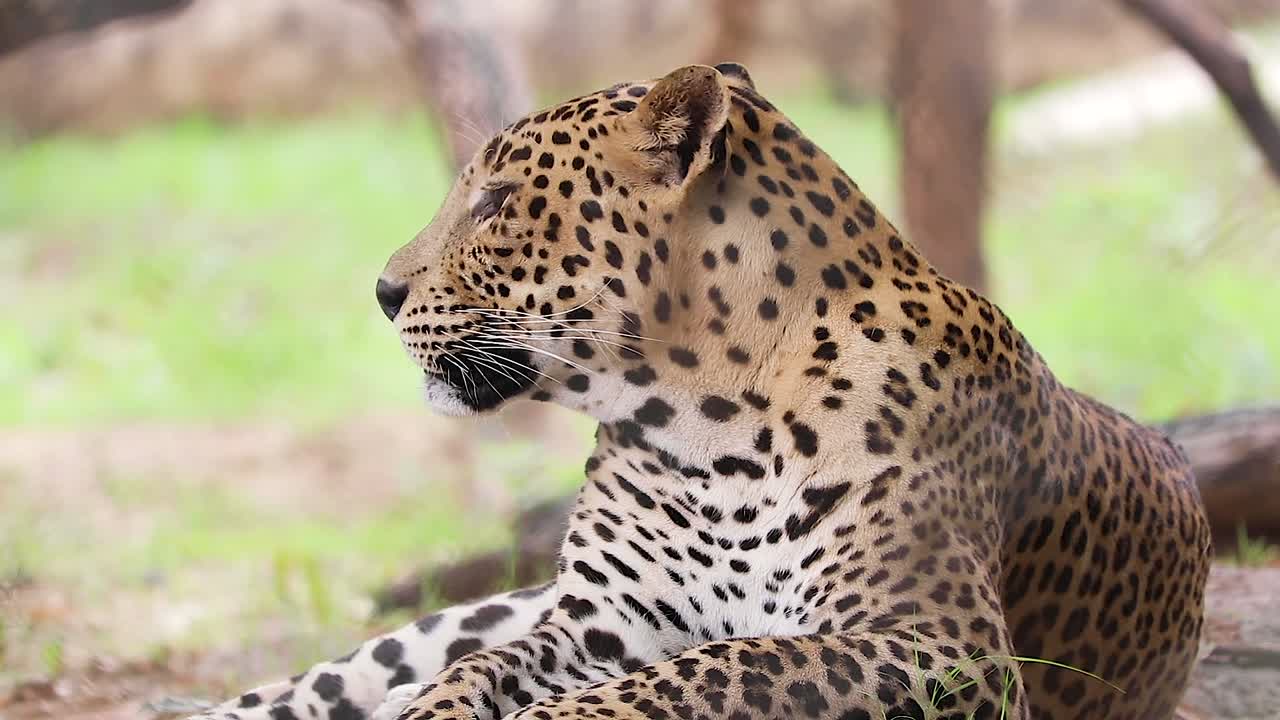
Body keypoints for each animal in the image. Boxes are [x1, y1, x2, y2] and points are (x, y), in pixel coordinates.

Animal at [193, 63, 1211, 720]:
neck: (707, 428)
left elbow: (720, 664)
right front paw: (430, 706)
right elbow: (483, 668)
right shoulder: (598, 620)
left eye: (496, 203)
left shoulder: (943, 643)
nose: (382, 290)